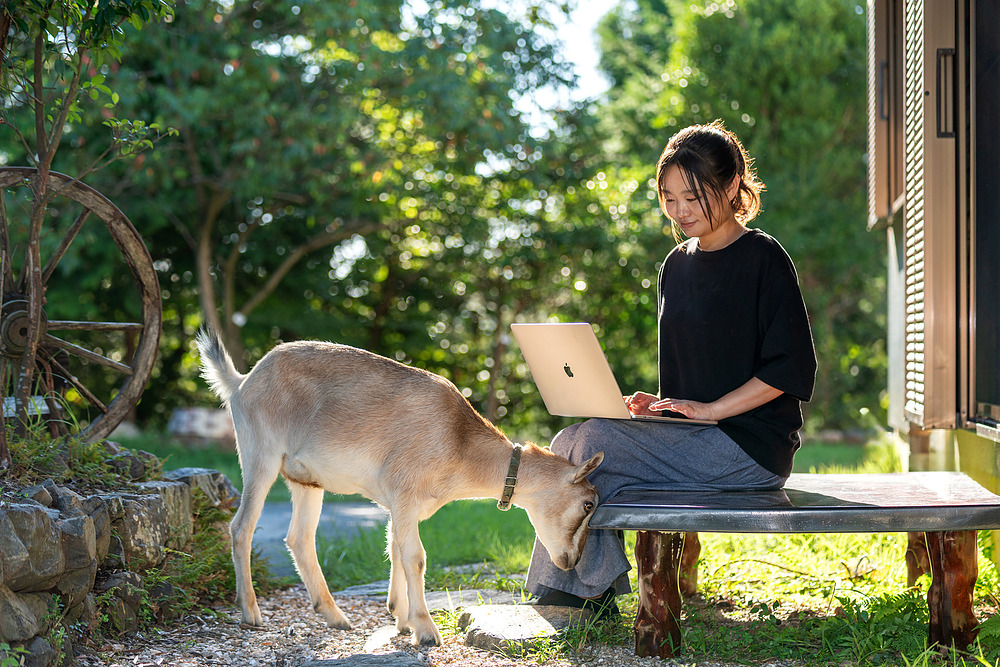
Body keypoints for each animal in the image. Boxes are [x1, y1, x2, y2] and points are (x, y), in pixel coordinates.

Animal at [194, 330, 600, 648]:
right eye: (588, 504)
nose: (573, 560)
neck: (458, 442)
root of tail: (242, 381)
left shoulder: (400, 506)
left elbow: (394, 548)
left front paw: (400, 618)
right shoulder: (404, 494)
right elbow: (415, 557)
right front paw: (425, 631)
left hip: (306, 481)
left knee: (300, 538)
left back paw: (336, 617)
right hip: (259, 456)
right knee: (241, 527)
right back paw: (251, 613)